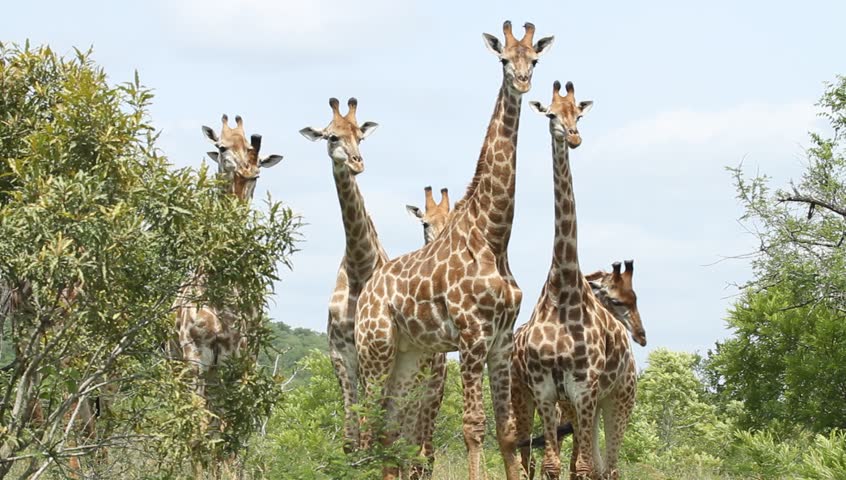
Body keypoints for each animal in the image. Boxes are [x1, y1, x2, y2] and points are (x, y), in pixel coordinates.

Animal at [354, 21, 554, 480]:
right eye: (503, 59)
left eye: (534, 59)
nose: (522, 81)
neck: (494, 236)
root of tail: (366, 293)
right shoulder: (471, 335)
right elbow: (472, 425)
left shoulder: (500, 340)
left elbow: (506, 431)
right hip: (375, 349)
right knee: (365, 427)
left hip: (410, 354)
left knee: (388, 429)